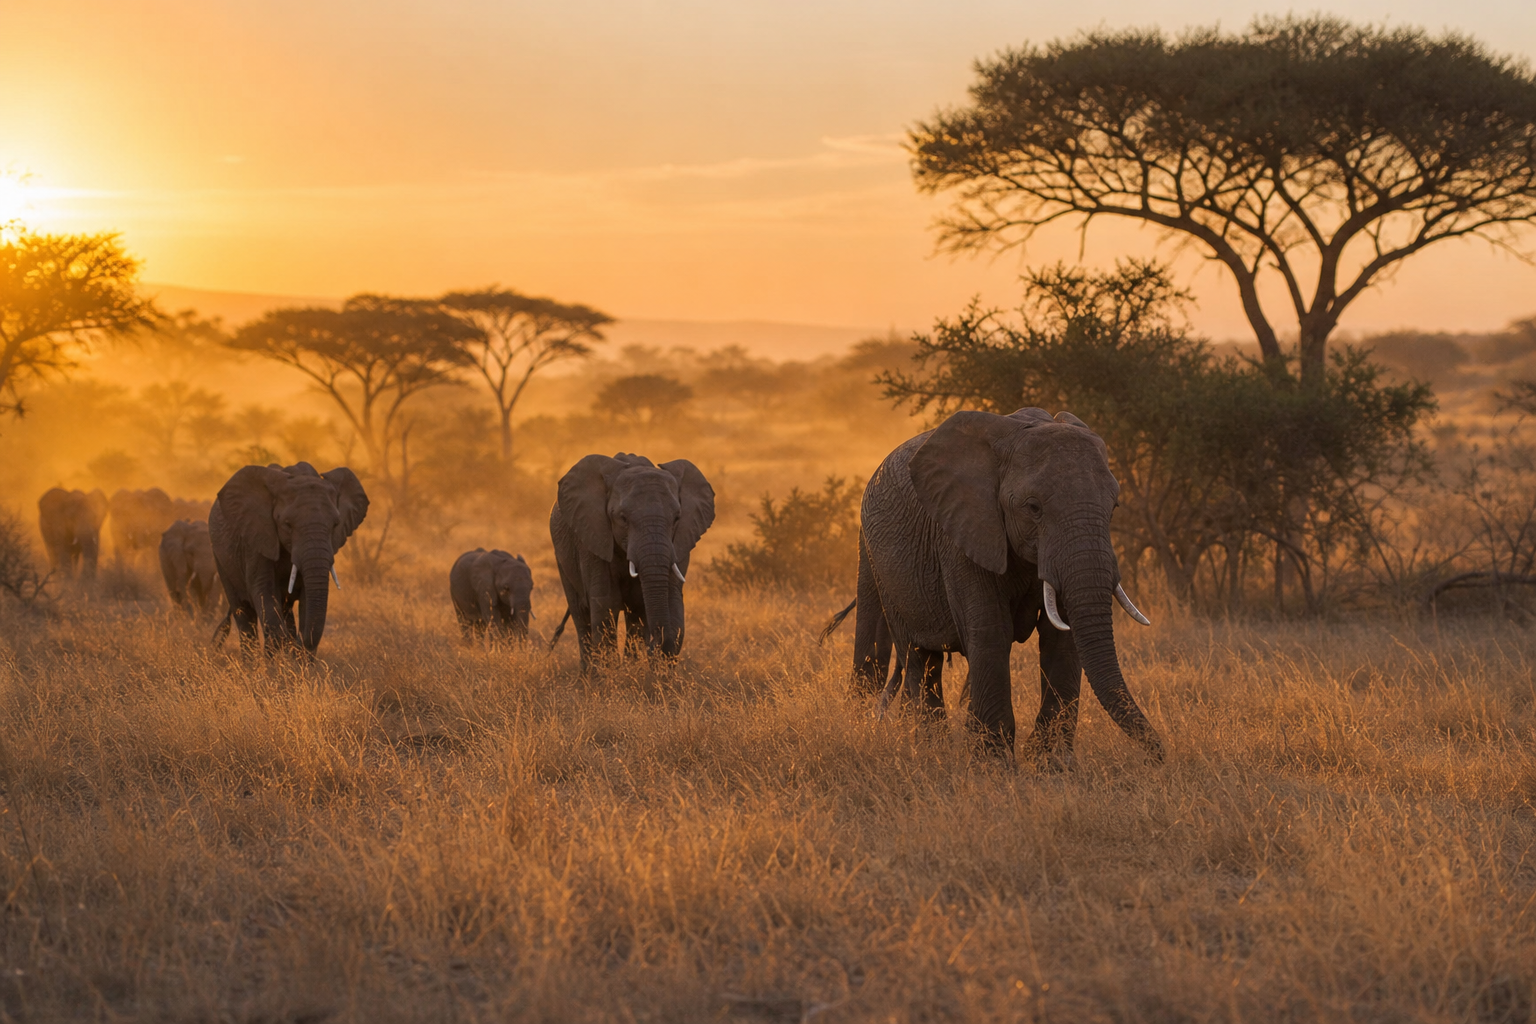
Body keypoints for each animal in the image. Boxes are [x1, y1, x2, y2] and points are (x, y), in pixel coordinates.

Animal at [208, 462, 368, 655]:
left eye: (335, 524)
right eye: (287, 524)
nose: (298, 644)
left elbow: (309, 600)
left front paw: (297, 657)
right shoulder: (257, 539)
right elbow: (264, 592)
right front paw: (281, 659)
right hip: (220, 558)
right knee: (244, 614)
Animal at [549, 452, 715, 672]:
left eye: (677, 518)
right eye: (623, 518)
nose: (654, 646)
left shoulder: (680, 542)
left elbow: (671, 602)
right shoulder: (593, 538)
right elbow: (606, 605)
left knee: (634, 617)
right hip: (562, 556)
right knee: (581, 616)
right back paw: (587, 676)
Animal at [852, 407, 1163, 765]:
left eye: (1114, 507)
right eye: (1033, 507)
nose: (1156, 757)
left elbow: (1063, 637)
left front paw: (1052, 764)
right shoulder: (963, 533)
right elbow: (991, 632)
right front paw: (994, 765)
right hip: (879, 562)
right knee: (916, 659)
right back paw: (930, 751)